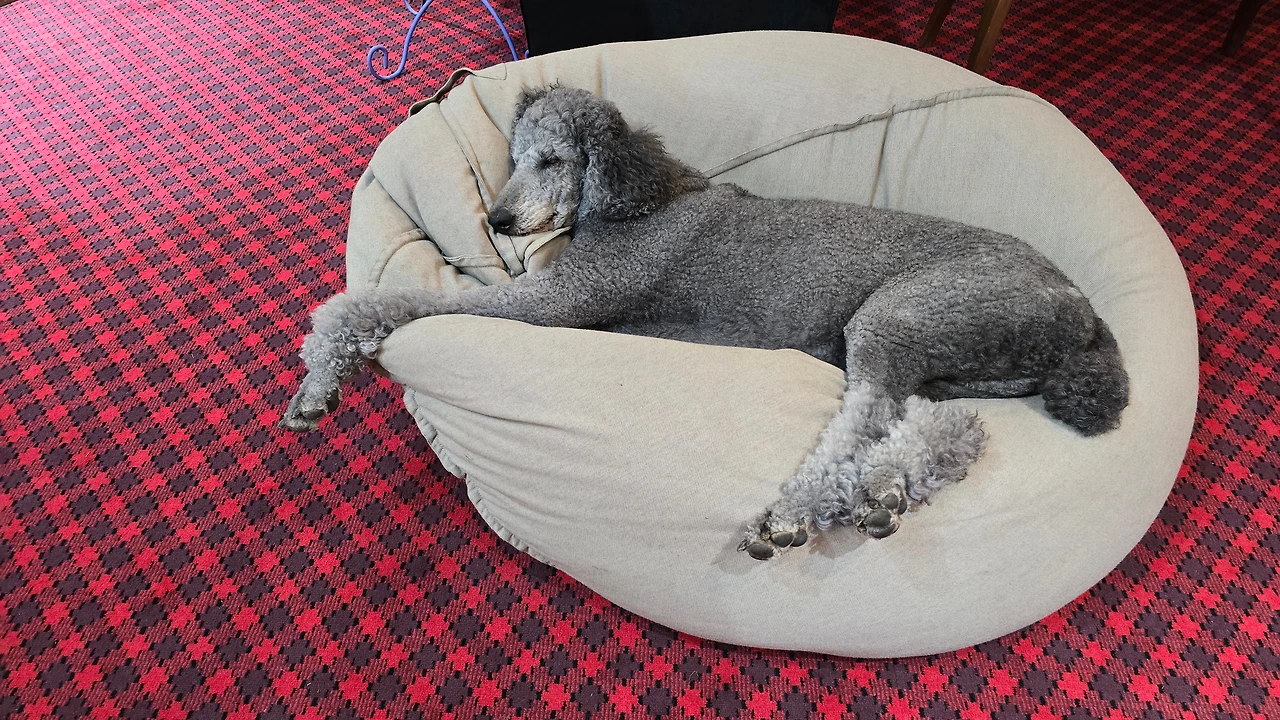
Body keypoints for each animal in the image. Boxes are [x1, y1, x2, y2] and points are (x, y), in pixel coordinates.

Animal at [281, 85, 1129, 560]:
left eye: (553, 160)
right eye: (514, 158)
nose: (498, 219)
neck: (634, 195)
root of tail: (1081, 309)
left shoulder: (557, 303)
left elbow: (393, 301)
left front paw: (322, 370)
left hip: (894, 318)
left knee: (861, 422)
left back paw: (797, 514)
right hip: (950, 362)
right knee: (948, 430)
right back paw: (883, 494)